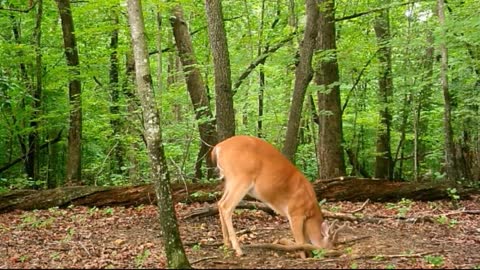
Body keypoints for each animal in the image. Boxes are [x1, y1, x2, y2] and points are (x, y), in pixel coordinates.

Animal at [212, 135, 344, 258]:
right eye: (332, 244)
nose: (335, 253)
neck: (310, 209)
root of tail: (218, 148)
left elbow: (305, 240)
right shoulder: (295, 213)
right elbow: (300, 241)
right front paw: (304, 257)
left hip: (229, 180)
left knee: (220, 203)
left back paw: (227, 244)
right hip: (241, 177)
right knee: (226, 206)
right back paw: (238, 250)